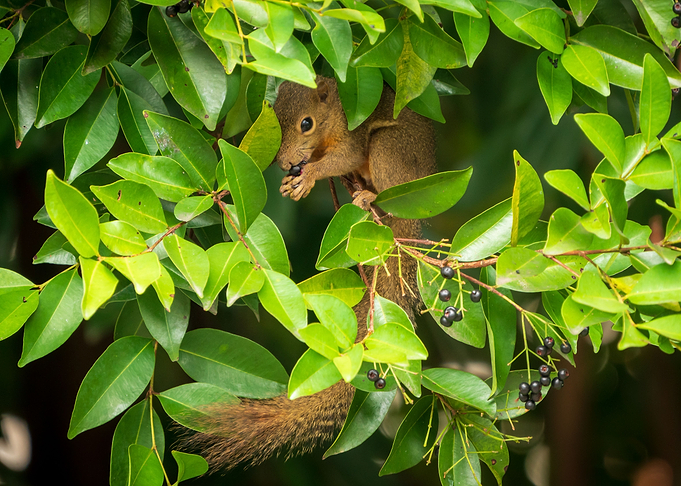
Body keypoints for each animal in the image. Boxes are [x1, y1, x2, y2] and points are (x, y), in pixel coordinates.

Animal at [183, 76, 437, 470]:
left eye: (307, 124)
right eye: (272, 120)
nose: (287, 162)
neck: (332, 117)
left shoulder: (352, 133)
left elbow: (345, 157)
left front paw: (311, 176)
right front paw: (296, 179)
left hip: (392, 154)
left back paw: (368, 198)